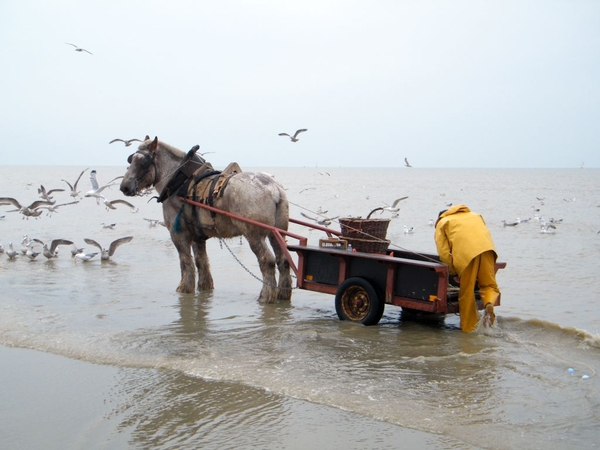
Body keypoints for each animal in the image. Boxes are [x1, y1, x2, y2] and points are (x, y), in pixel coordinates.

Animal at [118, 134, 292, 302]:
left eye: (142, 162)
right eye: (131, 159)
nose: (124, 186)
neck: (179, 182)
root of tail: (273, 188)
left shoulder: (178, 234)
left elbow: (186, 262)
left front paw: (184, 288)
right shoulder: (198, 237)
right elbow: (201, 262)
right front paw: (205, 287)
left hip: (254, 235)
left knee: (267, 261)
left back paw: (266, 295)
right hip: (277, 233)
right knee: (283, 260)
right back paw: (283, 294)